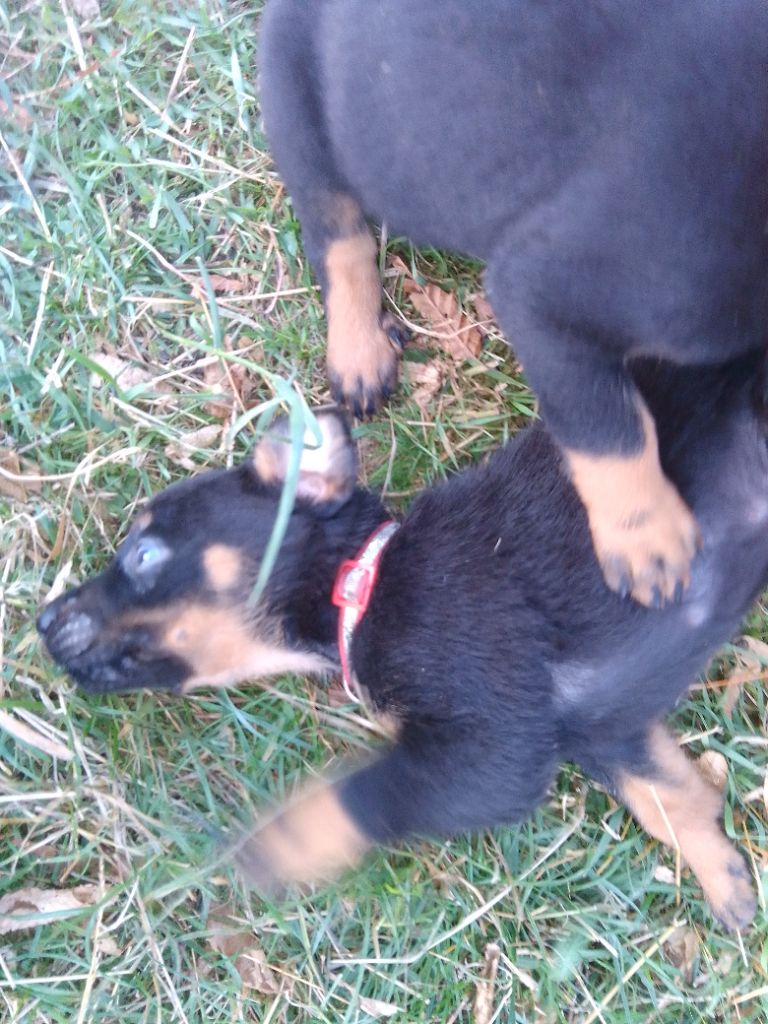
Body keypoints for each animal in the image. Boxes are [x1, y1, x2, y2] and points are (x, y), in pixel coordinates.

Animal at [38, 353, 768, 930]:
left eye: (143, 554)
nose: (43, 621)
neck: (362, 583)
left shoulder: (493, 750)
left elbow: (366, 792)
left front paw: (276, 843)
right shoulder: (601, 727)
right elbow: (667, 797)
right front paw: (726, 879)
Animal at [258, 0, 768, 607]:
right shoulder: (551, 301)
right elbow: (610, 430)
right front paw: (648, 539)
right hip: (298, 115)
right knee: (339, 240)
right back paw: (360, 354)